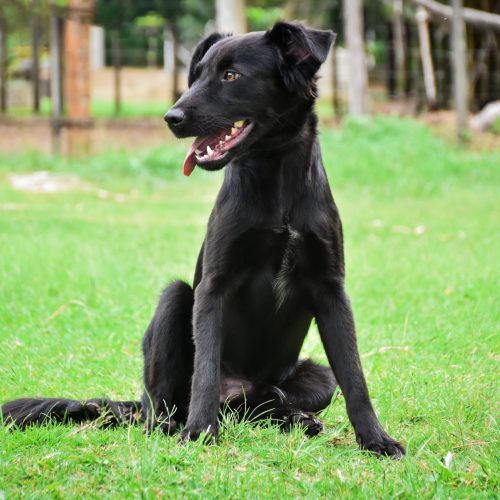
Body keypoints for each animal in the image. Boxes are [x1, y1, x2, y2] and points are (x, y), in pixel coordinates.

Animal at [1, 24, 404, 460]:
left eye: (231, 75)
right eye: (197, 77)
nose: (171, 118)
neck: (276, 178)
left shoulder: (331, 290)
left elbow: (354, 377)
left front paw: (375, 438)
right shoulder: (213, 286)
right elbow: (205, 370)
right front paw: (198, 431)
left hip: (312, 379)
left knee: (263, 406)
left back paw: (297, 418)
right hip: (175, 303)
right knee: (164, 408)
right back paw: (176, 424)